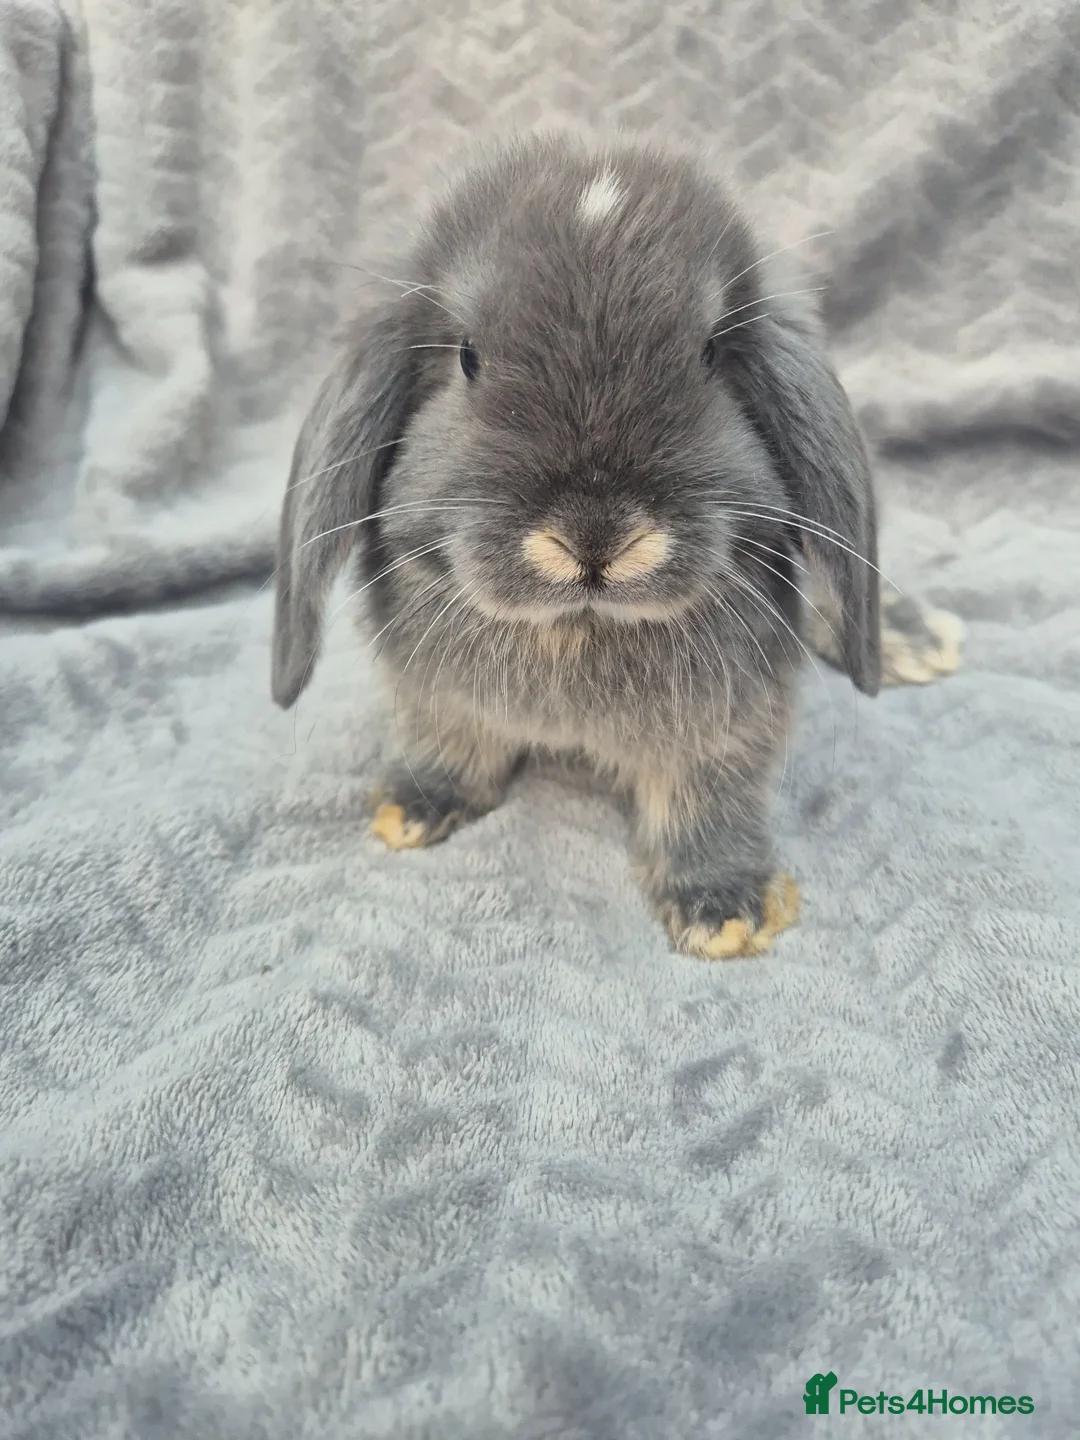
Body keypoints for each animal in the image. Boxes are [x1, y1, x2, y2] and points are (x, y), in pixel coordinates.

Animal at [271, 131, 885, 960]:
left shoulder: (726, 733)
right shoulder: (433, 699)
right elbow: (447, 743)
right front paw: (415, 806)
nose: (595, 538)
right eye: (468, 357)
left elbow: (707, 804)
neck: (576, 629)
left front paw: (725, 909)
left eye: (709, 354)